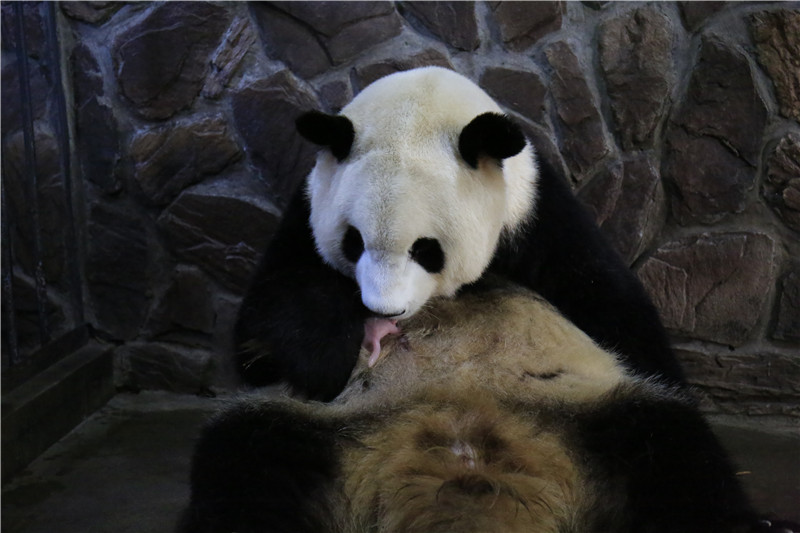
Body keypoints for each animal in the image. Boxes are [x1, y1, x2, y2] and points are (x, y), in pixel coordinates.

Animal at [234, 65, 684, 400]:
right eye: (353, 242)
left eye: (425, 249)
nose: (384, 311)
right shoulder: (307, 206)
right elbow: (269, 316)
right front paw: (324, 361)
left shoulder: (533, 212)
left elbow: (603, 295)